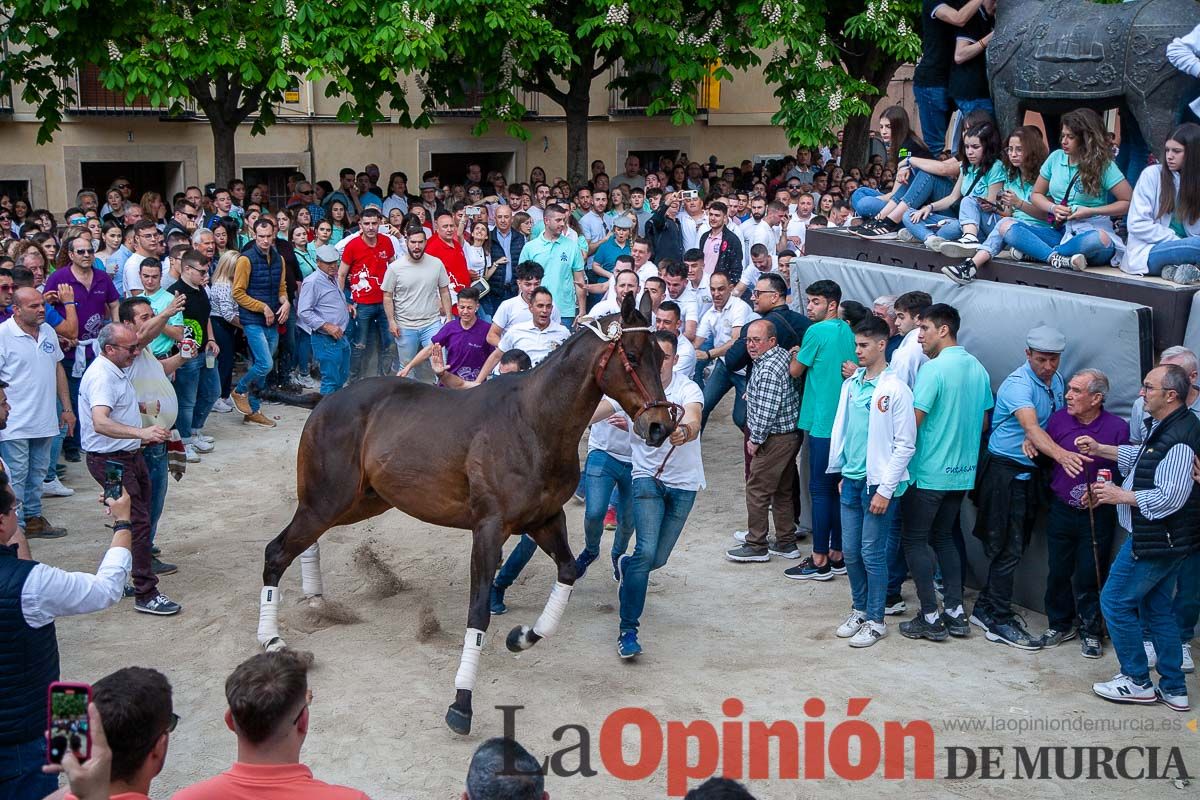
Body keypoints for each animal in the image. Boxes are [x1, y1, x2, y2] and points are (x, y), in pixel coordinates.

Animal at [255, 291, 676, 734]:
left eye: (659, 356)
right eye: (633, 355)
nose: (659, 426)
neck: (533, 421)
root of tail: (326, 400)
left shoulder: (545, 519)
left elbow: (567, 572)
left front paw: (522, 637)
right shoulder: (488, 529)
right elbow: (478, 612)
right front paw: (462, 702)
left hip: (359, 501)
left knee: (304, 541)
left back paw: (315, 600)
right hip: (330, 500)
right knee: (277, 551)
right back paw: (272, 640)